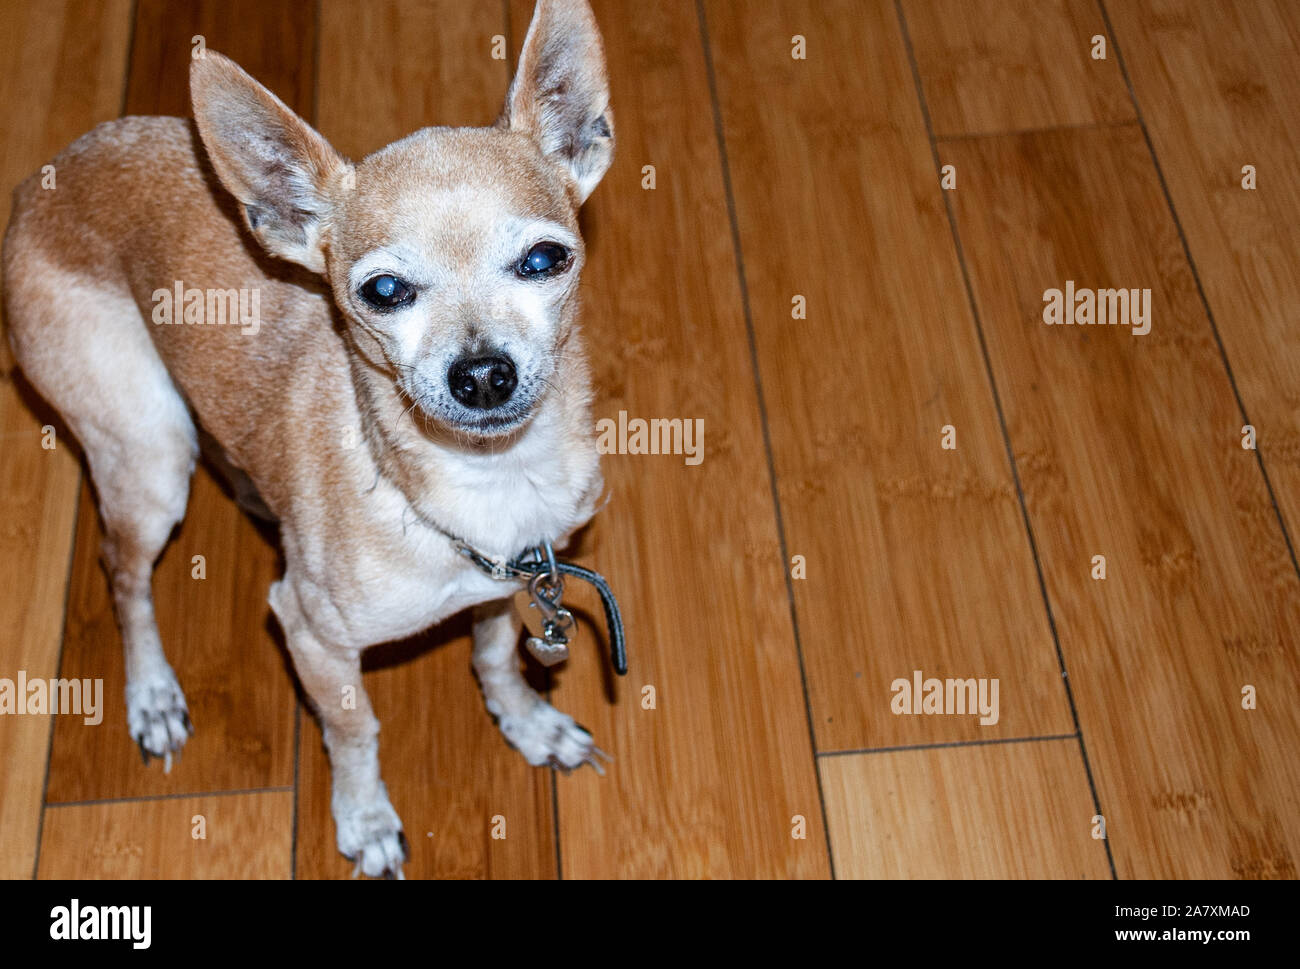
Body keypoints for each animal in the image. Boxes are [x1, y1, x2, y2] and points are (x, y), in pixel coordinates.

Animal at [5, 0, 613, 879]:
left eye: (544, 259)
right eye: (384, 290)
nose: (482, 374)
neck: (482, 485)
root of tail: (41, 180)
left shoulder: (506, 582)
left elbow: (496, 654)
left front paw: (528, 722)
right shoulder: (310, 636)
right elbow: (355, 728)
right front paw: (364, 817)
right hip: (150, 459)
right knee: (122, 575)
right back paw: (151, 692)